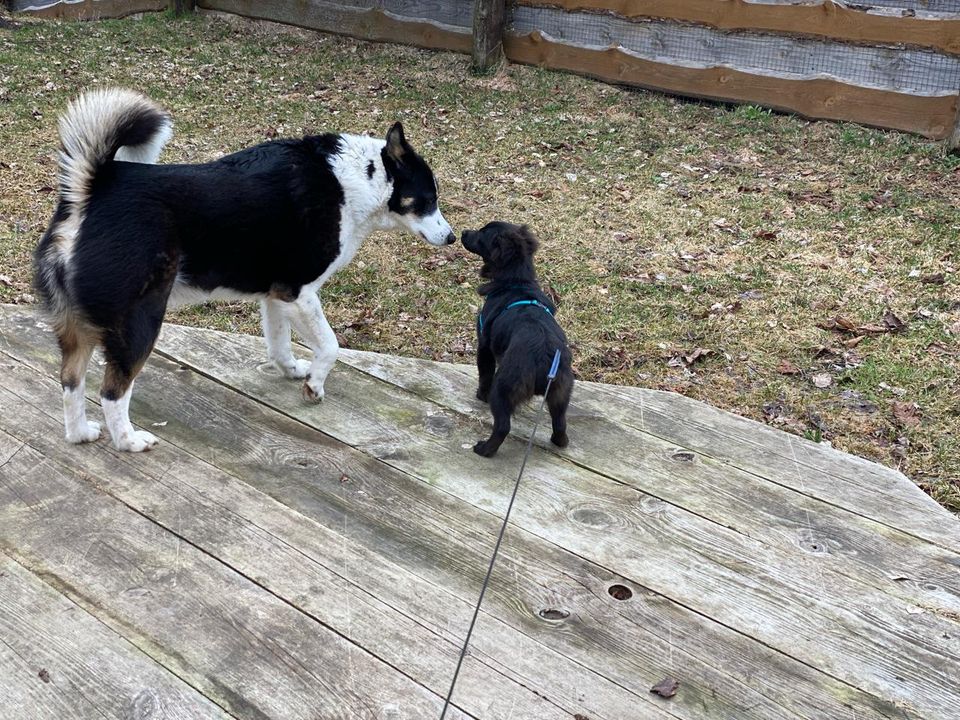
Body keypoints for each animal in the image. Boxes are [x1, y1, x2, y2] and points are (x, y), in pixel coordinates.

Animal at [35, 88, 456, 450]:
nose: (453, 238)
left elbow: (279, 345)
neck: (355, 180)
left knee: (70, 381)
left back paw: (80, 434)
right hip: (139, 321)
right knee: (112, 391)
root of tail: (90, 190)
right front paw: (315, 385)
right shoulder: (300, 293)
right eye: (428, 199)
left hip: (77, 329)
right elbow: (331, 346)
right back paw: (128, 440)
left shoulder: (277, 297)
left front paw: (294, 371)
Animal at [462, 222, 572, 456]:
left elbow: (484, 374)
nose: (463, 232)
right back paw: (559, 441)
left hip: (503, 387)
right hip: (561, 393)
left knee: (503, 426)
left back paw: (484, 449)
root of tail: (543, 358)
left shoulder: (484, 345)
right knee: (560, 423)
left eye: (482, 234)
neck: (517, 281)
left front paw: (480, 395)